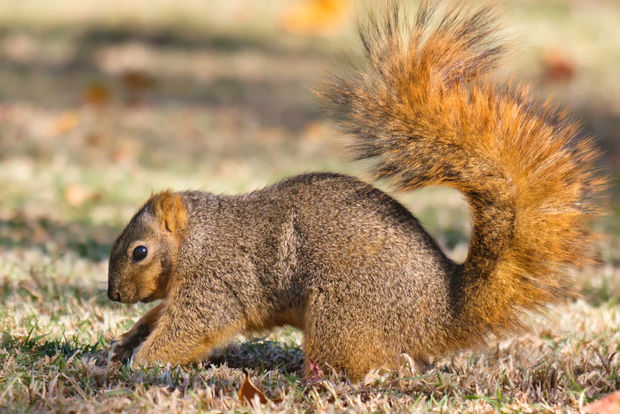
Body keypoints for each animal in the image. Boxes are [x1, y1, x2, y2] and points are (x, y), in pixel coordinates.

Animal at [108, 2, 604, 382]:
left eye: (139, 251)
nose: (113, 296)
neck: (200, 238)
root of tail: (444, 314)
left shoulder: (218, 281)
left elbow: (192, 327)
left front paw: (143, 362)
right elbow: (161, 316)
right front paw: (128, 339)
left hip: (342, 313)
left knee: (375, 363)